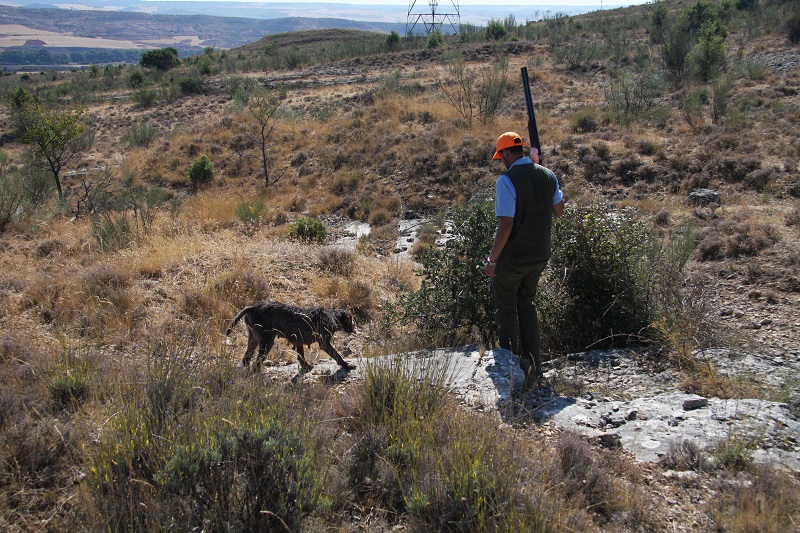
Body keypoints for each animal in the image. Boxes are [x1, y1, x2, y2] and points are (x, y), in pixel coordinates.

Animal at [225, 302, 356, 372]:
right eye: (350, 318)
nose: (354, 326)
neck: (332, 316)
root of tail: (254, 307)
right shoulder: (324, 343)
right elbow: (337, 355)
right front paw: (347, 365)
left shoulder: (299, 341)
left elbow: (301, 355)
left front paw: (306, 366)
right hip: (267, 341)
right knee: (256, 363)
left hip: (254, 338)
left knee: (246, 359)